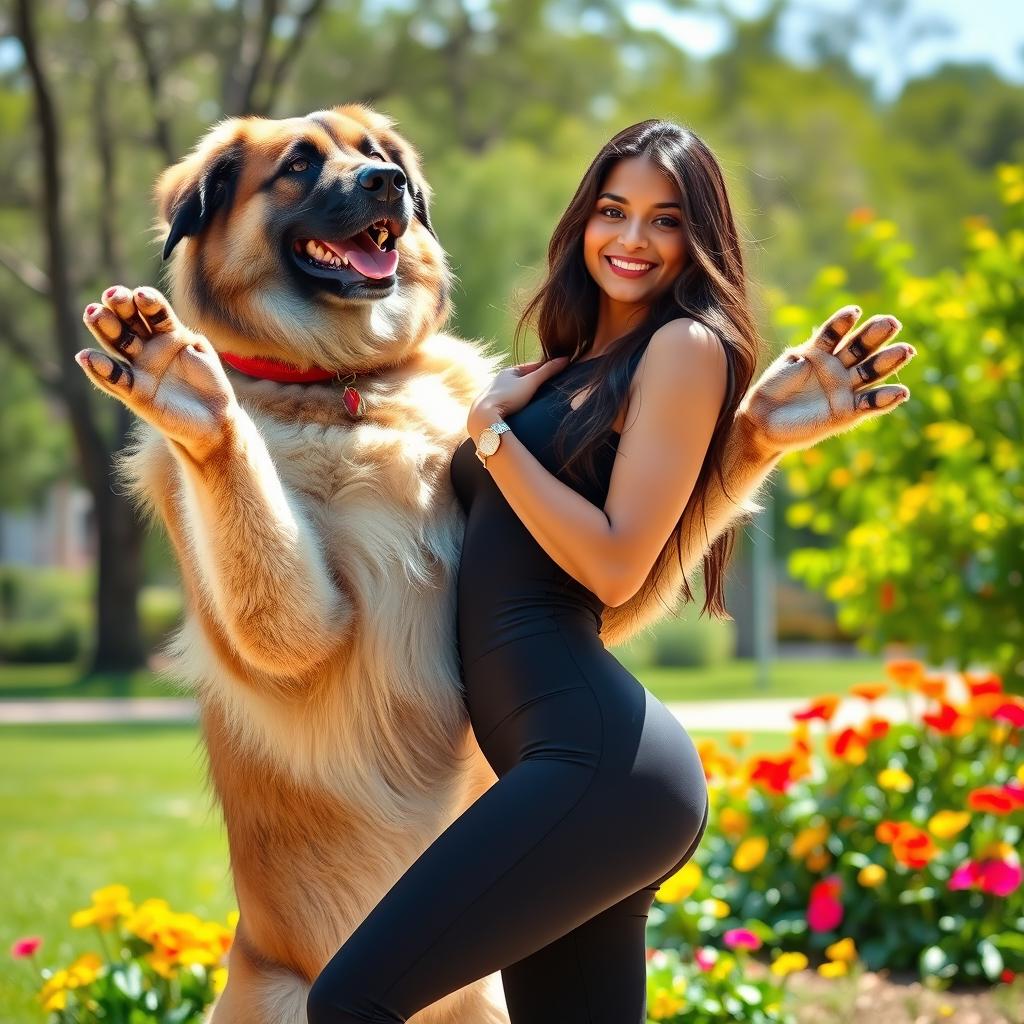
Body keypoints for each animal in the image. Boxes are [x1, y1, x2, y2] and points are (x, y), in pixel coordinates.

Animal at [77, 105, 913, 1024]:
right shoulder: (297, 636)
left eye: (374, 154)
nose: (387, 185)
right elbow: (261, 548)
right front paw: (191, 397)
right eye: (297, 164)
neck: (345, 383)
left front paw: (780, 411)